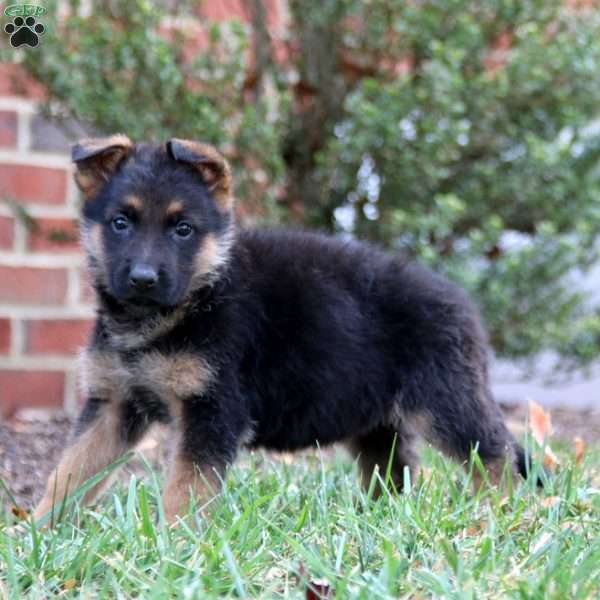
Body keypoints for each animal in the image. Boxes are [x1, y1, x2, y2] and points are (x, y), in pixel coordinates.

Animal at [34, 136, 528, 524]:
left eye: (183, 229)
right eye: (120, 223)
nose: (142, 279)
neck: (188, 303)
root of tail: (462, 302)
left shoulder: (213, 410)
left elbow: (185, 489)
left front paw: (173, 545)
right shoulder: (113, 404)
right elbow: (69, 474)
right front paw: (38, 534)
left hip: (444, 402)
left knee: (498, 455)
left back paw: (504, 515)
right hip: (377, 420)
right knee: (393, 471)